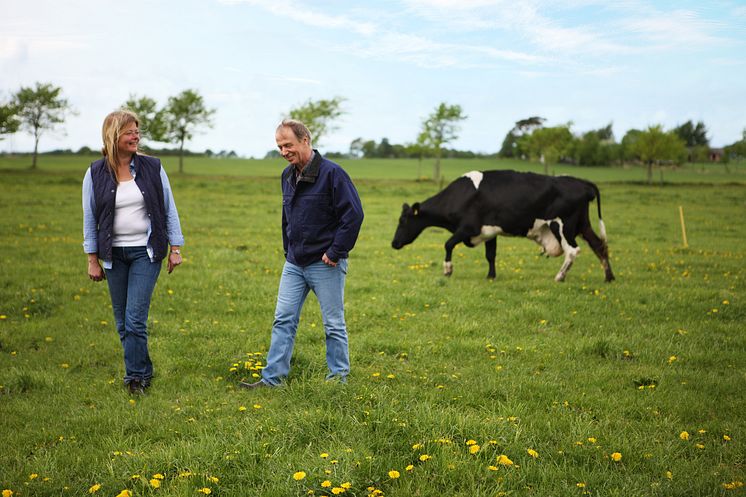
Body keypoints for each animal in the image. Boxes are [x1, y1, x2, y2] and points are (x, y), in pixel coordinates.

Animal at [392, 170, 612, 280]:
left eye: (402, 221)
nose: (394, 243)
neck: (459, 196)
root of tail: (581, 182)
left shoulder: (468, 228)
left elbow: (448, 244)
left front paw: (448, 270)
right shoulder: (489, 232)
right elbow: (491, 255)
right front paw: (491, 276)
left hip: (562, 226)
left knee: (573, 250)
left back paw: (560, 276)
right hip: (582, 224)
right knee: (599, 245)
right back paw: (609, 277)